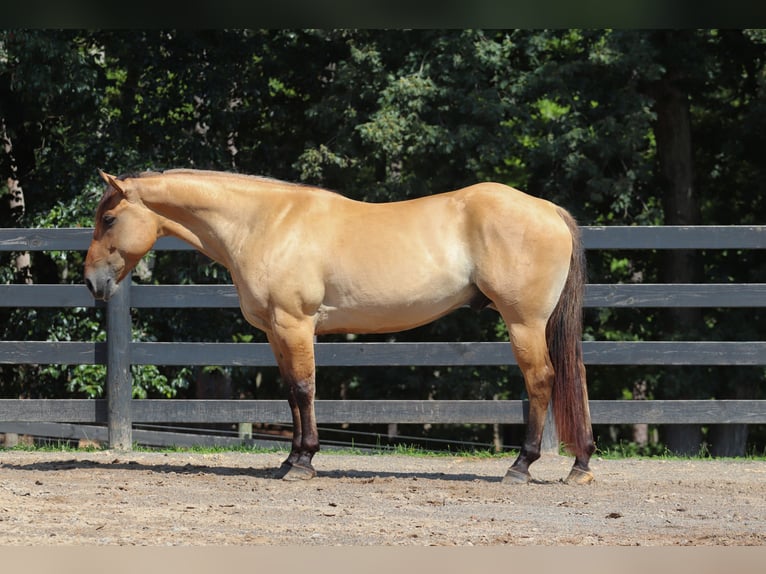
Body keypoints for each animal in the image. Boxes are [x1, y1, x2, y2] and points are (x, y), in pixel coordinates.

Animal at [85, 170, 600, 486]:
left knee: (542, 381)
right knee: (572, 379)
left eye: (108, 218)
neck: (263, 223)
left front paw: (304, 462)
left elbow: (305, 388)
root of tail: (548, 209)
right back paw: (580, 463)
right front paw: (290, 459)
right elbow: (291, 394)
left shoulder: (295, 324)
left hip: (524, 323)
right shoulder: (275, 331)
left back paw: (522, 466)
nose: (91, 281)